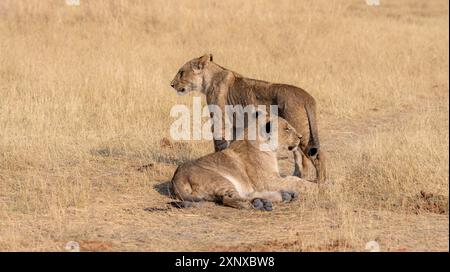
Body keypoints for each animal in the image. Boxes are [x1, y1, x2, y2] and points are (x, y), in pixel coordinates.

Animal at [171, 115, 316, 210]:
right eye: (286, 129)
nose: (300, 137)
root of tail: (177, 178)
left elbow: (292, 178)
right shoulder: (267, 180)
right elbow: (295, 180)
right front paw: (317, 186)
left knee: (244, 194)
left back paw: (278, 198)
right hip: (219, 179)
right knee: (230, 198)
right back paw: (272, 200)